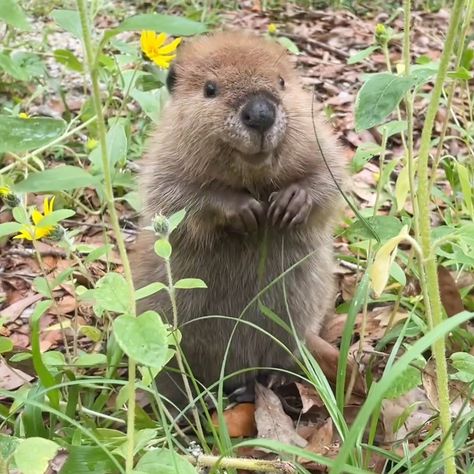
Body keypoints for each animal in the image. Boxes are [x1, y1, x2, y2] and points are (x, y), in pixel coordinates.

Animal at [131, 31, 346, 410]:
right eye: (210, 89)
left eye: (282, 82)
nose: (260, 114)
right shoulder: (163, 155)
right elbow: (173, 196)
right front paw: (245, 211)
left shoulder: (316, 136)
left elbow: (329, 176)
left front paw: (289, 204)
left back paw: (263, 383)